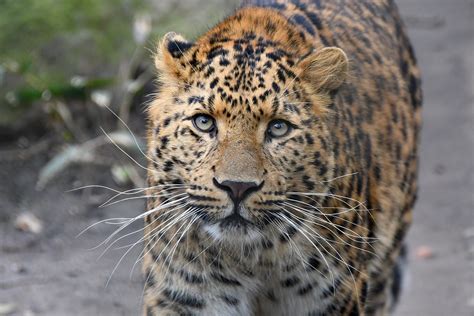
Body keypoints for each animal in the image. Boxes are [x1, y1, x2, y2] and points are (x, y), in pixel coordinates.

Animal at [143, 1, 420, 314]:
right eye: (204, 122)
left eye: (278, 127)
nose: (237, 187)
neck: (253, 257)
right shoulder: (182, 296)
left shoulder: (336, 298)